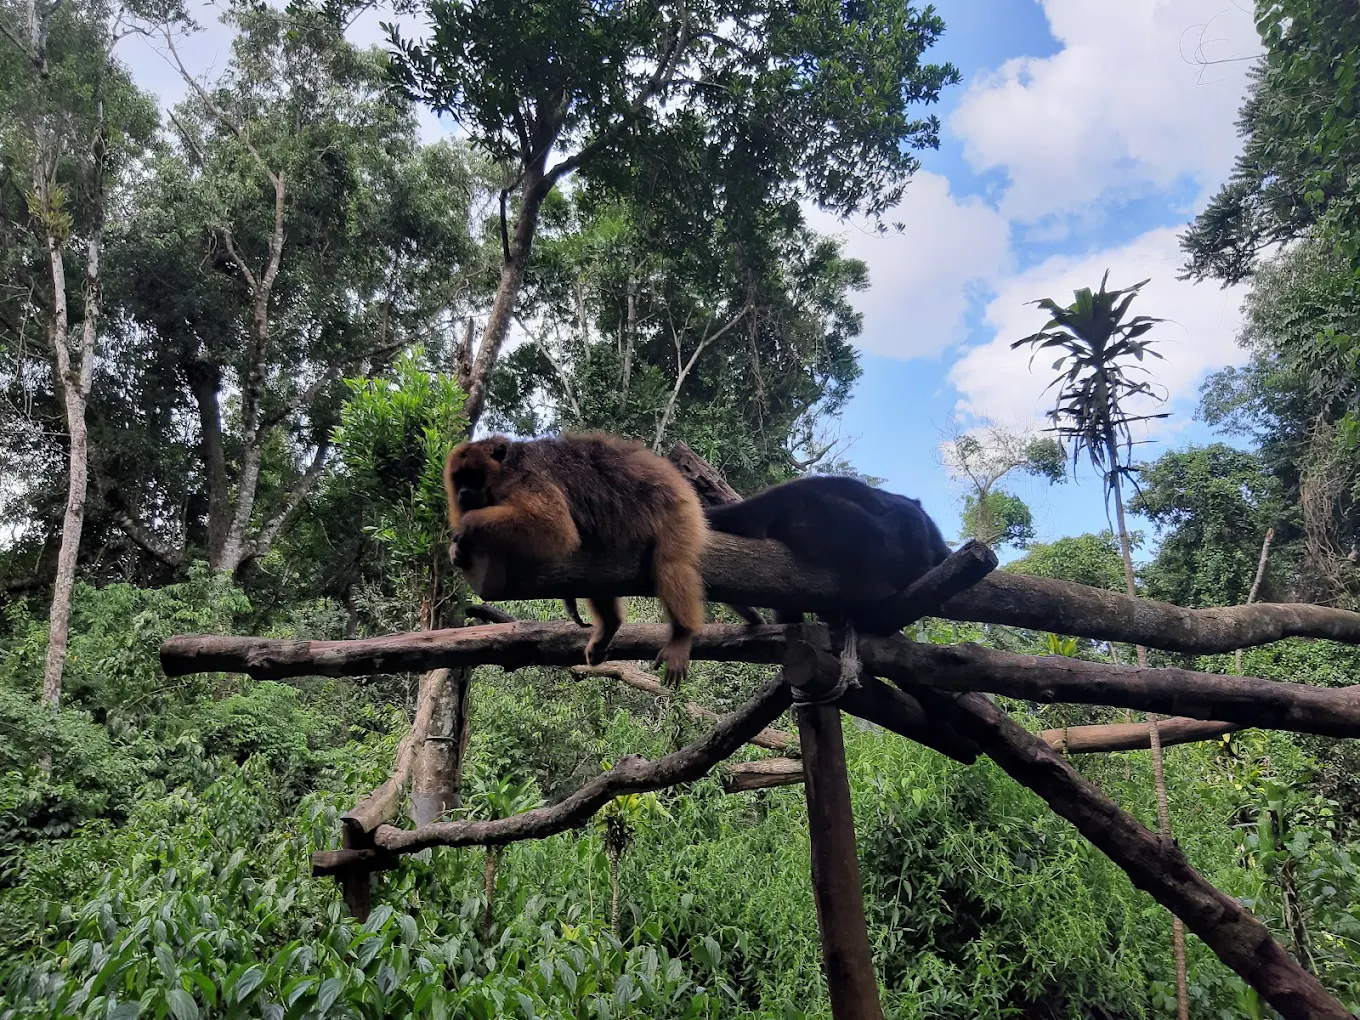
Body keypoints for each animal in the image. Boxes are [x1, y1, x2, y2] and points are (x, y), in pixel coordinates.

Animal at [444, 433, 709, 686]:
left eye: (473, 476)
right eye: (459, 478)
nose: (463, 493)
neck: (502, 472)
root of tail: (673, 475)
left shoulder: (522, 478)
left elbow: (553, 525)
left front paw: (467, 526)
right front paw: (456, 550)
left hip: (676, 508)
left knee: (671, 563)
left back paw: (681, 634)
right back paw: (609, 625)